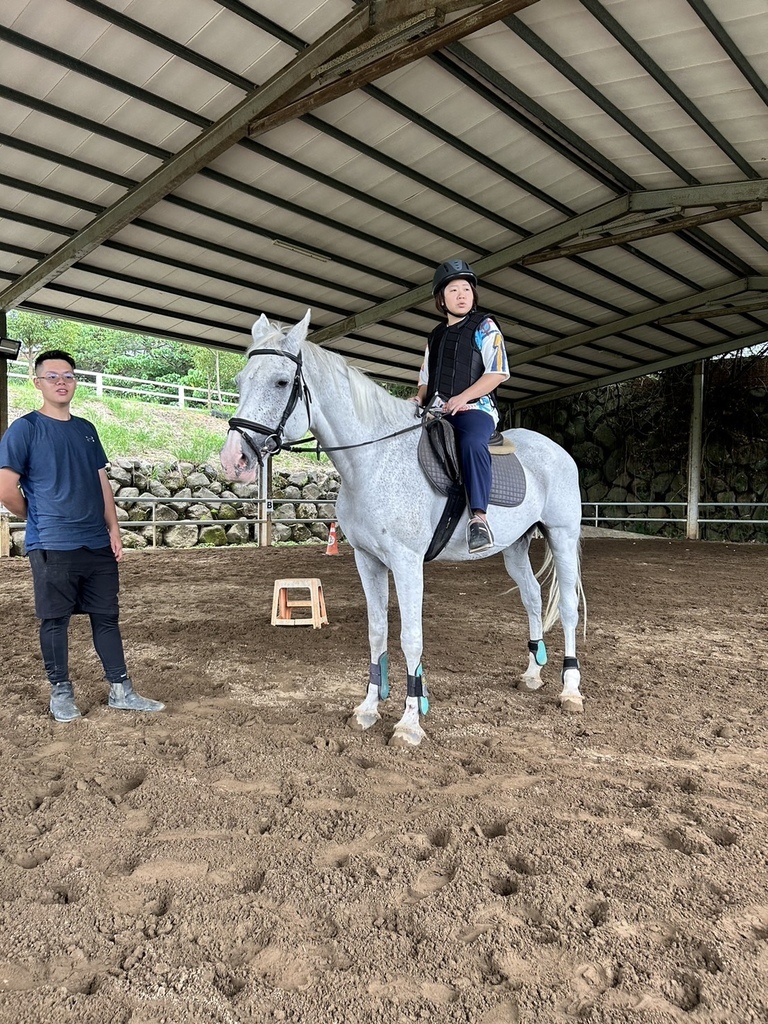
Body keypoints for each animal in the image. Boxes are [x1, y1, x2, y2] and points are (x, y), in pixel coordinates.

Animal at [219, 307, 585, 749]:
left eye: (281, 382)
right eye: (240, 381)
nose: (233, 460)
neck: (373, 460)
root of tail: (556, 449)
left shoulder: (408, 563)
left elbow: (411, 636)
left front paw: (410, 722)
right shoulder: (368, 561)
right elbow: (377, 632)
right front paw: (369, 708)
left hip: (562, 535)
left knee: (566, 608)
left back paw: (570, 689)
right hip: (514, 546)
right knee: (532, 597)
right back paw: (532, 674)